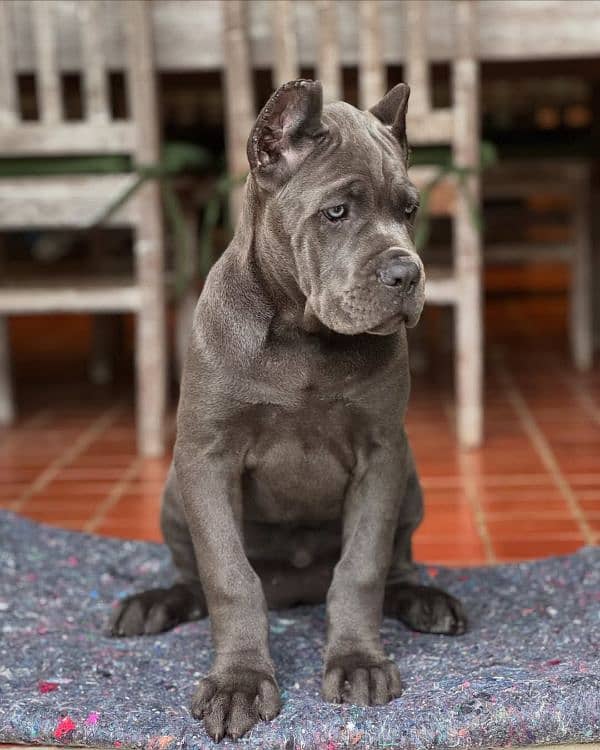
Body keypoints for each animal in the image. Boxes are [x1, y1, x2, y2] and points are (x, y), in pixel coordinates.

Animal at [112, 81, 468, 740]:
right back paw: (153, 603)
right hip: (174, 491)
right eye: (337, 212)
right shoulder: (207, 456)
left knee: (394, 567)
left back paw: (426, 601)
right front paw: (239, 682)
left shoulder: (382, 453)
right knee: (193, 581)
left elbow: (361, 567)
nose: (406, 272)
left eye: (408, 211)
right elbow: (229, 577)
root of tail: (296, 585)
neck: (304, 334)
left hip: (410, 480)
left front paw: (357, 662)